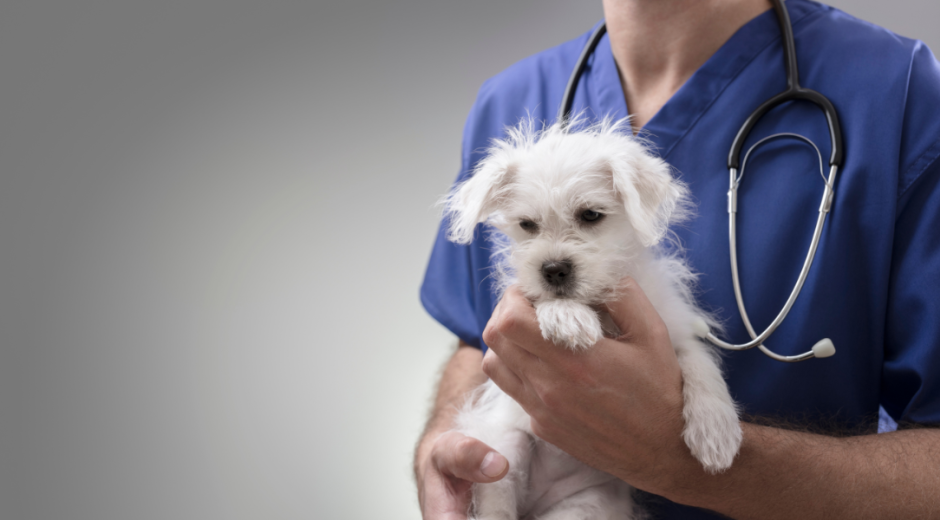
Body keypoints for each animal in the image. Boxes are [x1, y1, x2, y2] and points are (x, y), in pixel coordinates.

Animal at [444, 120, 744, 520]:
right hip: (503, 450)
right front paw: (567, 316)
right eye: (527, 224)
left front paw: (715, 430)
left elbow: (700, 363)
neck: (597, 304)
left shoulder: (673, 332)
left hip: (586, 506)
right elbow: (544, 302)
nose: (553, 269)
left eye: (590, 215)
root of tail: (537, 503)